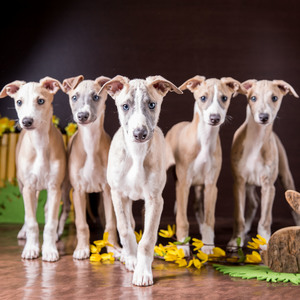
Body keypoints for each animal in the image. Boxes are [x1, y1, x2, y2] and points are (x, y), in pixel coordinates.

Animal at [0, 77, 66, 260]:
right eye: (19, 102)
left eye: (41, 101)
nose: (26, 122)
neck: (40, 144)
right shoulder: (29, 187)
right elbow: (31, 221)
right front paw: (31, 248)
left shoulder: (54, 187)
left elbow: (50, 223)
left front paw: (49, 250)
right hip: (23, 186)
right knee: (30, 211)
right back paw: (23, 233)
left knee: (46, 209)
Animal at [61, 74, 119, 258]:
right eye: (74, 97)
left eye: (95, 97)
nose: (82, 115)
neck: (90, 144)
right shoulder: (78, 191)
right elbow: (81, 224)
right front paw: (82, 249)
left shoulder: (108, 190)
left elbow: (111, 223)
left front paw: (113, 248)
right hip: (67, 190)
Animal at [99, 75, 182, 286]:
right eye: (125, 106)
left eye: (152, 104)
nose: (139, 134)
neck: (136, 154)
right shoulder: (118, 194)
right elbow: (125, 229)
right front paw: (131, 259)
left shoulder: (155, 199)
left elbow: (147, 238)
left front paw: (143, 271)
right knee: (128, 223)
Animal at [164, 75, 246, 253]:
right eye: (203, 98)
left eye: (224, 98)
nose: (214, 118)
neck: (205, 140)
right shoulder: (183, 184)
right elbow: (182, 219)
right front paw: (183, 246)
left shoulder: (210, 185)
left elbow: (209, 219)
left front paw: (208, 246)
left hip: (199, 187)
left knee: (197, 207)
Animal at [227, 79, 298, 248]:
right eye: (253, 98)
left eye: (274, 98)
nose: (264, 117)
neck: (256, 140)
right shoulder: (239, 183)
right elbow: (238, 216)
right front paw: (236, 239)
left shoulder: (268, 186)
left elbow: (265, 219)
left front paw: (265, 241)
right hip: (248, 185)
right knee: (253, 203)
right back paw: (245, 229)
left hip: (286, 176)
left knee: (292, 204)